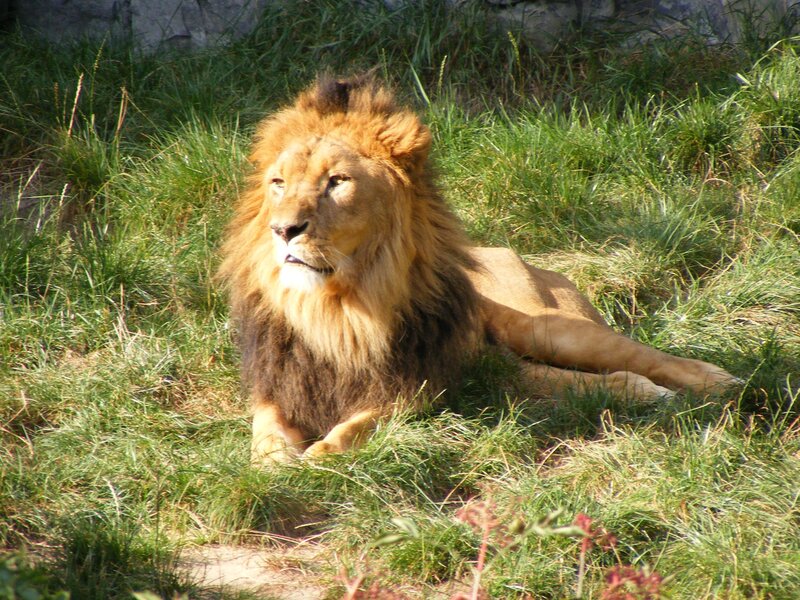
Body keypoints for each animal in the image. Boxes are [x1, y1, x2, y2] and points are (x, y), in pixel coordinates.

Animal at [218, 75, 739, 464]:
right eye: (278, 183)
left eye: (337, 181)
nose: (283, 230)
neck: (338, 309)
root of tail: (504, 250)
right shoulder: (276, 383)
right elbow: (265, 429)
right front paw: (272, 462)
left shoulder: (415, 382)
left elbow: (363, 422)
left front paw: (323, 452)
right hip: (508, 367)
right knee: (581, 381)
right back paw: (640, 393)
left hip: (544, 327)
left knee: (639, 355)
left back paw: (714, 380)